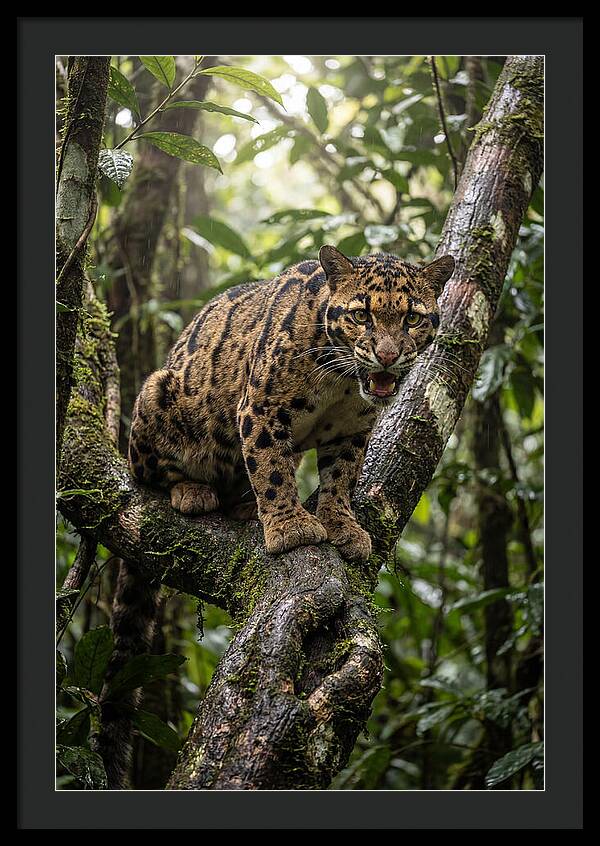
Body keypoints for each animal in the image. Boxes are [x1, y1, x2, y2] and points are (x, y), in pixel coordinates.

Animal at [128, 245, 455, 563]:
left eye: (412, 319)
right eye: (361, 316)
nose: (387, 356)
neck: (341, 381)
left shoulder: (352, 429)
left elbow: (342, 477)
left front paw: (342, 524)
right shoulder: (261, 409)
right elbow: (271, 469)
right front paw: (290, 526)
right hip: (157, 391)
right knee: (150, 474)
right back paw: (193, 491)